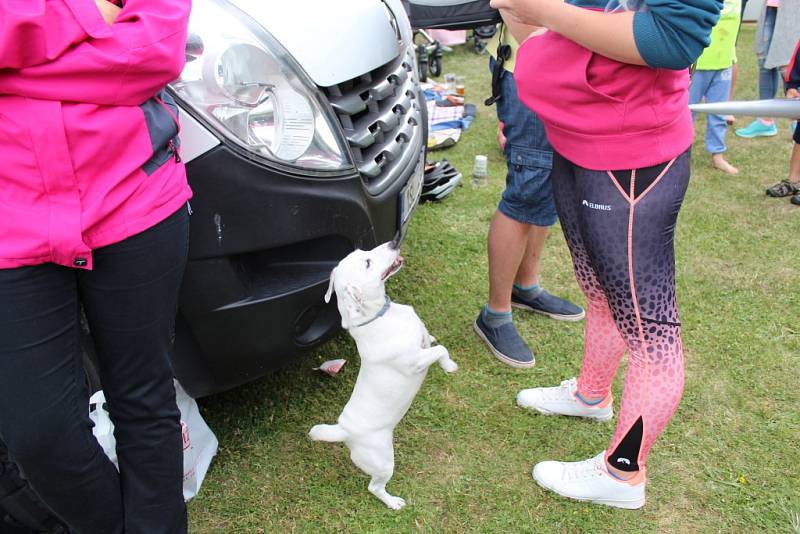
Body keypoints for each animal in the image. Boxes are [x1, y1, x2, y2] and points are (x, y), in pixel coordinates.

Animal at [308, 239, 456, 510]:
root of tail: (344, 431)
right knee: (374, 487)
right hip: (384, 462)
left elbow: (430, 339)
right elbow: (441, 350)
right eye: (367, 262)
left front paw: (431, 339)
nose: (393, 242)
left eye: (363, 252)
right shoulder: (415, 362)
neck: (380, 315)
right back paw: (393, 502)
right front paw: (449, 366)